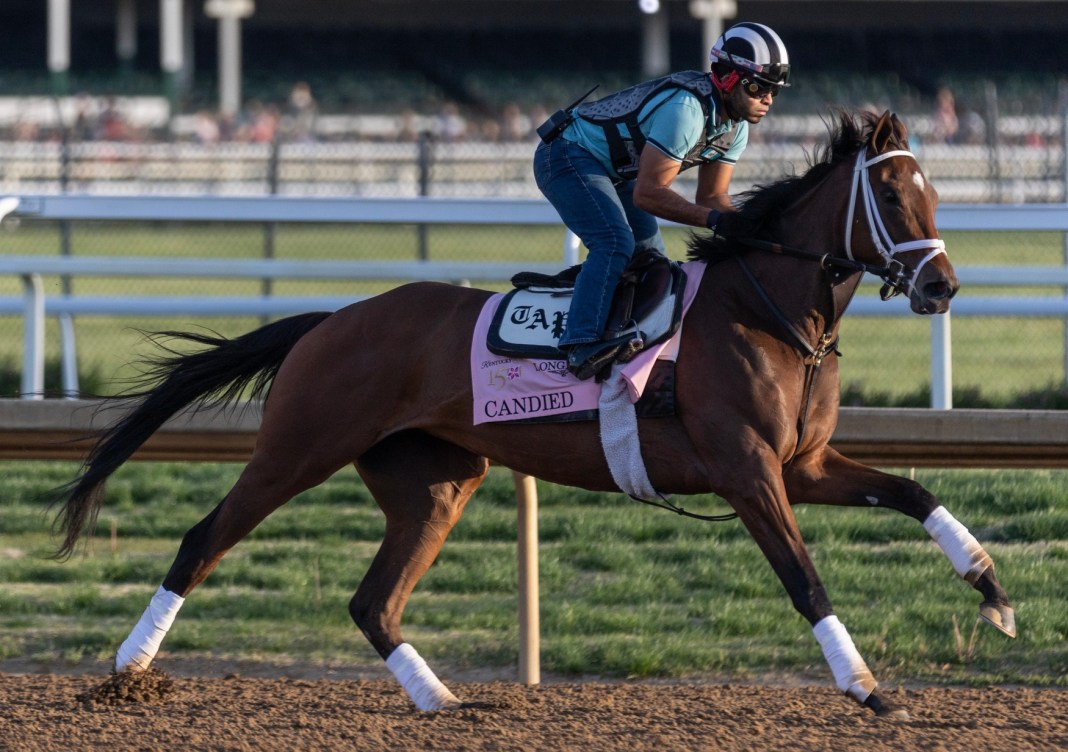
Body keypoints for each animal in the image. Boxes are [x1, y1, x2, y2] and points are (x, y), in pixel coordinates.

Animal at [52, 110, 1016, 717]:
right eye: (890, 197)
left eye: (933, 195)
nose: (942, 285)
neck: (764, 308)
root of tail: (330, 320)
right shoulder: (748, 473)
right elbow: (805, 578)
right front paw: (865, 686)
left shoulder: (802, 466)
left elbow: (916, 492)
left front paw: (994, 592)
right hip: (300, 445)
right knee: (204, 539)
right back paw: (129, 669)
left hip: (437, 480)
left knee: (373, 602)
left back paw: (439, 700)